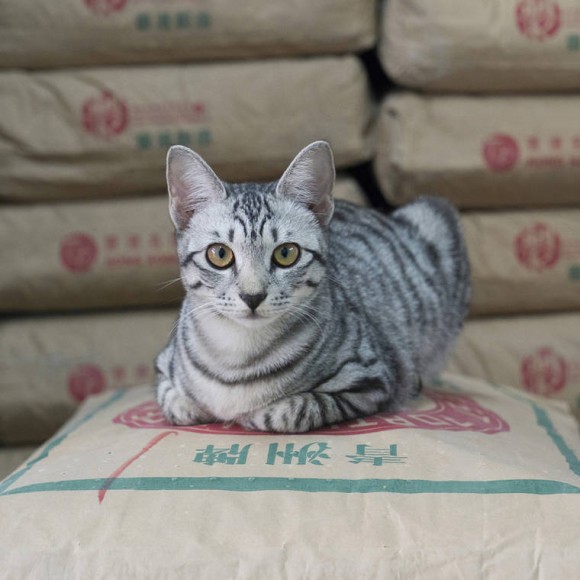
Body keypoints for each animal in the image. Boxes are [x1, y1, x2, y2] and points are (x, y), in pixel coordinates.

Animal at [155, 139, 472, 430]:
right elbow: (172, 402)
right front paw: (191, 405)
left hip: (434, 215)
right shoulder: (163, 366)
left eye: (286, 253)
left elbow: (289, 411)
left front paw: (250, 414)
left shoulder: (371, 378)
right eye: (219, 254)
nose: (252, 296)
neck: (237, 355)